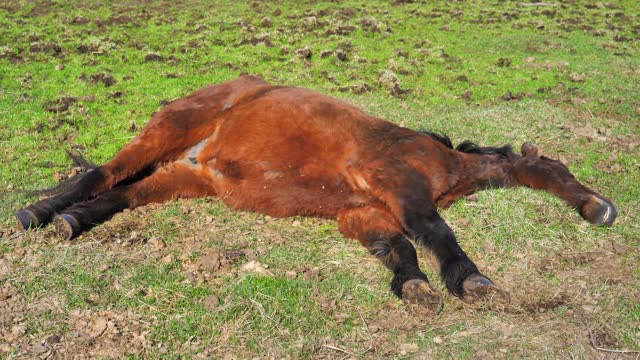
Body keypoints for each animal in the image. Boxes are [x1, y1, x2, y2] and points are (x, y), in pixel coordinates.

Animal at [13, 75, 616, 312]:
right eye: (566, 173)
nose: (604, 210)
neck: (443, 164)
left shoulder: (363, 211)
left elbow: (397, 246)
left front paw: (414, 286)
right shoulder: (397, 184)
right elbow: (433, 230)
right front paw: (470, 280)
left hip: (184, 178)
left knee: (118, 194)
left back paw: (69, 221)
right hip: (169, 130)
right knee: (100, 175)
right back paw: (36, 212)